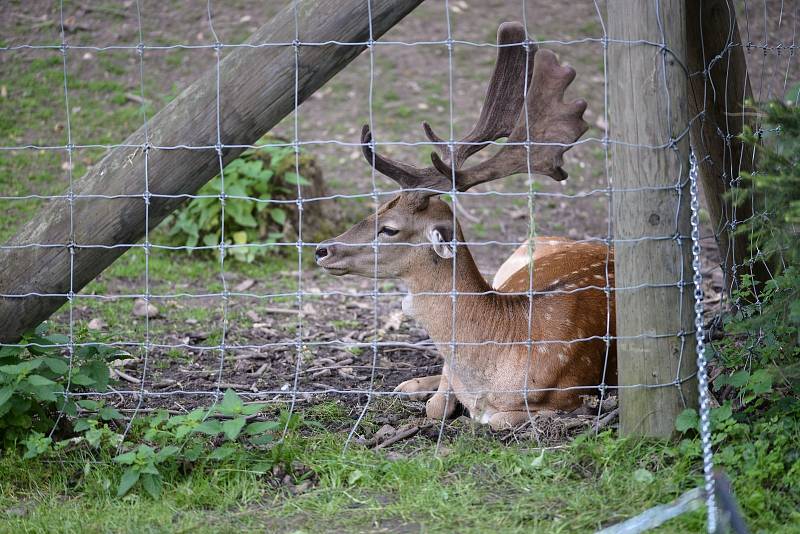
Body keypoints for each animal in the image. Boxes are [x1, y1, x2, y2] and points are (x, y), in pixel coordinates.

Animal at [316, 22, 616, 432]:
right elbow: (438, 404)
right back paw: (409, 384)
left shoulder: (572, 395)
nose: (322, 249)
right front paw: (424, 391)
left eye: (390, 228)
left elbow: (496, 419)